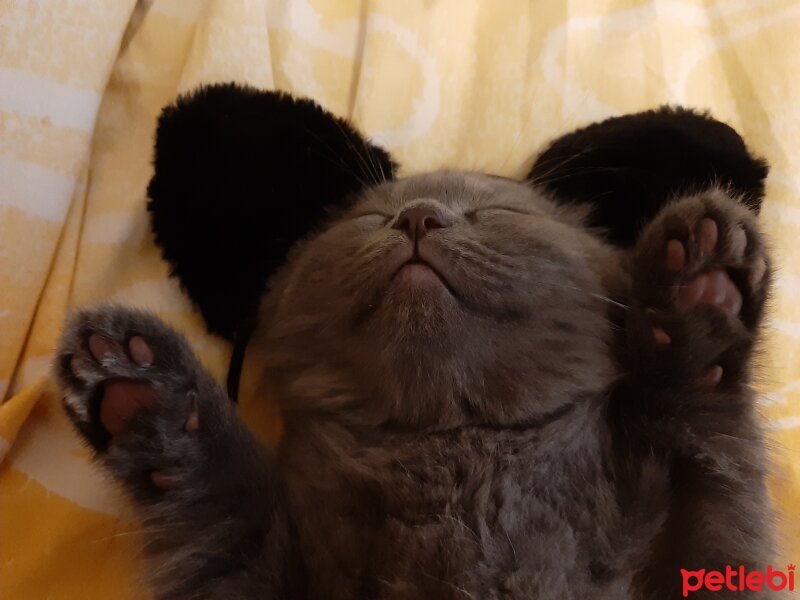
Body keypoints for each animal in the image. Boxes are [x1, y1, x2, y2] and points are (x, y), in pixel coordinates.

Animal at [56, 171, 776, 596]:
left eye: (495, 210)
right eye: (371, 219)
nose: (420, 216)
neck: (456, 460)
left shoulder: (708, 550)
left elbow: (701, 445)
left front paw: (698, 300)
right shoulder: (242, 572)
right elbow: (228, 497)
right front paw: (147, 395)